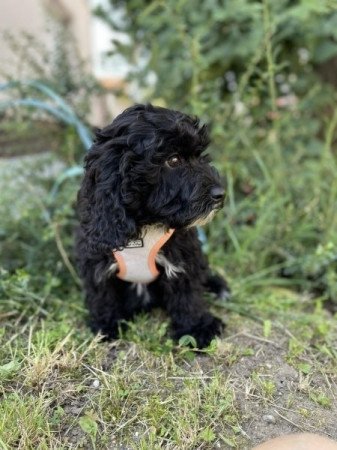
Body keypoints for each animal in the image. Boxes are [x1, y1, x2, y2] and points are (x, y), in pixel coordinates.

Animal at [76, 103, 228, 348]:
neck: (146, 223)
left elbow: (188, 295)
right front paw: (106, 325)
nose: (220, 194)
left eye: (200, 156)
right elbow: (102, 295)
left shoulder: (184, 259)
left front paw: (196, 328)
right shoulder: (95, 259)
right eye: (173, 160)